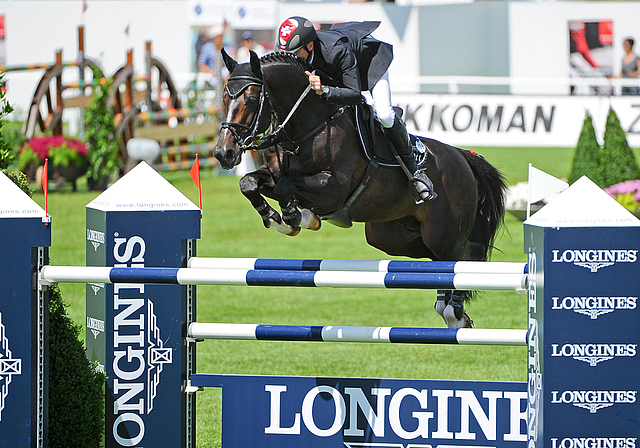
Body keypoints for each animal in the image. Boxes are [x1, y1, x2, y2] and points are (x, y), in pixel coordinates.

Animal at [218, 50, 508, 328]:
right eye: (223, 98)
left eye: (252, 99)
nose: (224, 153)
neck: (306, 127)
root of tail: (463, 157)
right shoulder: (274, 173)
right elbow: (250, 183)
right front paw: (280, 218)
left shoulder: (333, 188)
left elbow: (285, 187)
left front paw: (295, 216)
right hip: (393, 236)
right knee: (441, 261)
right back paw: (449, 309)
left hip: (443, 231)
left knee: (467, 254)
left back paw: (454, 311)